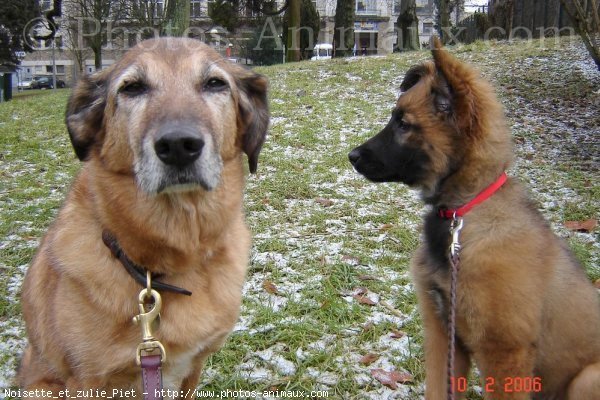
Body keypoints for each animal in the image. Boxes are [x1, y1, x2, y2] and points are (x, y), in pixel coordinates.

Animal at [350, 38, 600, 400]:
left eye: (403, 124)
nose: (351, 156)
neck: (464, 211)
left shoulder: (504, 351)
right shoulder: (443, 335)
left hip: (587, 378)